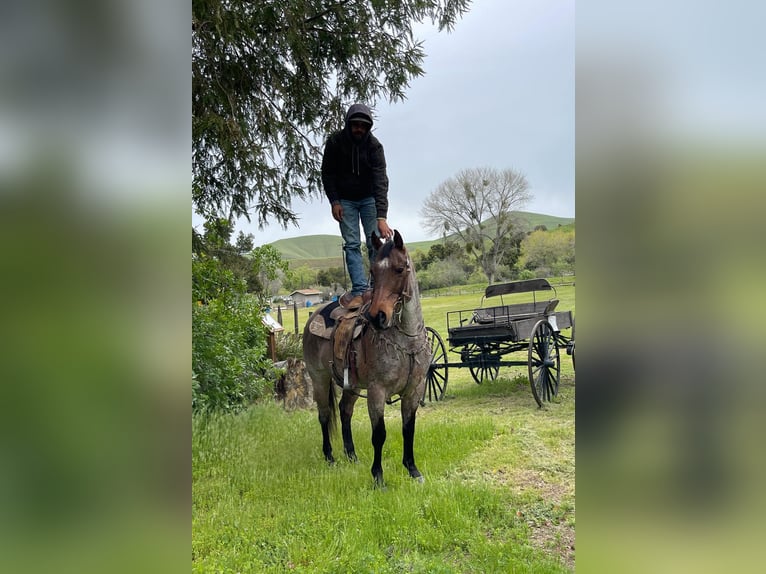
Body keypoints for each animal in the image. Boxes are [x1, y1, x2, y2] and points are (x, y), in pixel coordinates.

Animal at [302, 232, 432, 488]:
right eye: (372, 271)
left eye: (400, 269)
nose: (376, 316)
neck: (407, 343)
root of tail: (313, 316)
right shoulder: (376, 390)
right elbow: (379, 434)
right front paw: (378, 477)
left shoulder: (414, 389)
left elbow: (408, 428)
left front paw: (413, 470)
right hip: (319, 378)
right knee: (324, 415)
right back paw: (330, 457)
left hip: (351, 386)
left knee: (344, 410)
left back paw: (351, 455)